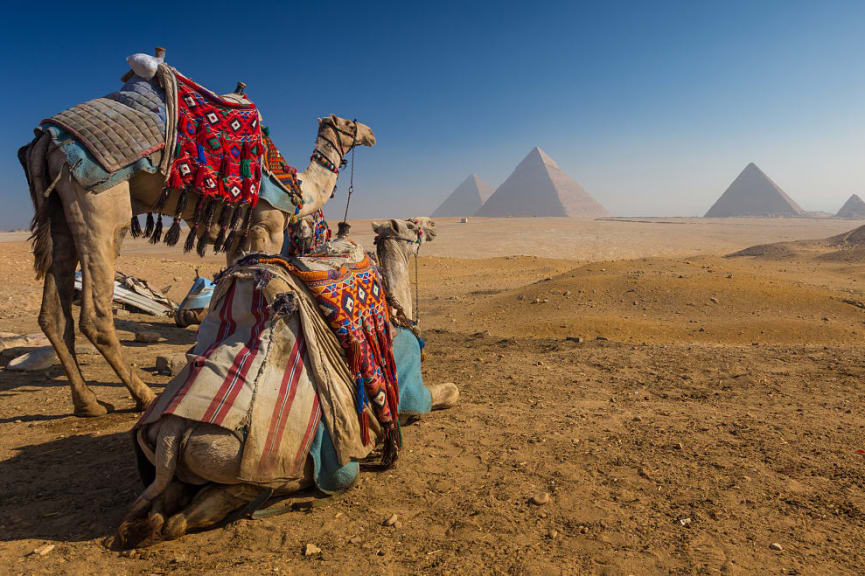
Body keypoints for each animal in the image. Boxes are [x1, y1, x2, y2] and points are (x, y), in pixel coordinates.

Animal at [19, 111, 372, 418]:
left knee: (53, 314)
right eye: (346, 123)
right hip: (99, 204)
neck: (301, 188)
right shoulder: (267, 227)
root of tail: (45, 140)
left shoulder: (240, 237)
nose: (370, 133)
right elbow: (268, 282)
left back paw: (88, 403)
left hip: (59, 212)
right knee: (94, 315)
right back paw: (143, 396)